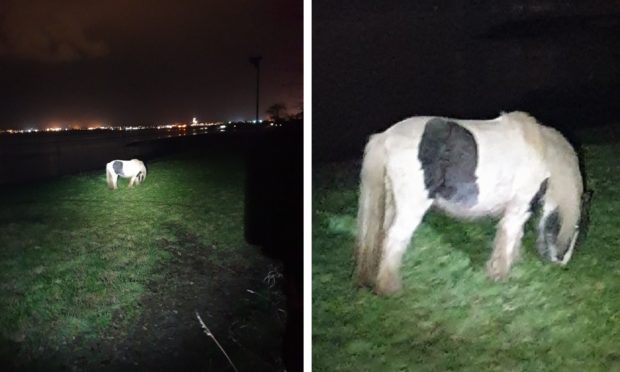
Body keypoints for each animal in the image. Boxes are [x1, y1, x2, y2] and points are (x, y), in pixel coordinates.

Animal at [354, 110, 588, 294]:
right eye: (575, 227)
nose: (561, 262)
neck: (542, 153)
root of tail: (386, 137)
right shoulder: (519, 206)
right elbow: (509, 237)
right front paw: (500, 274)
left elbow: (513, 237)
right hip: (412, 207)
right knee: (395, 239)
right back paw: (389, 288)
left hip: (392, 202)